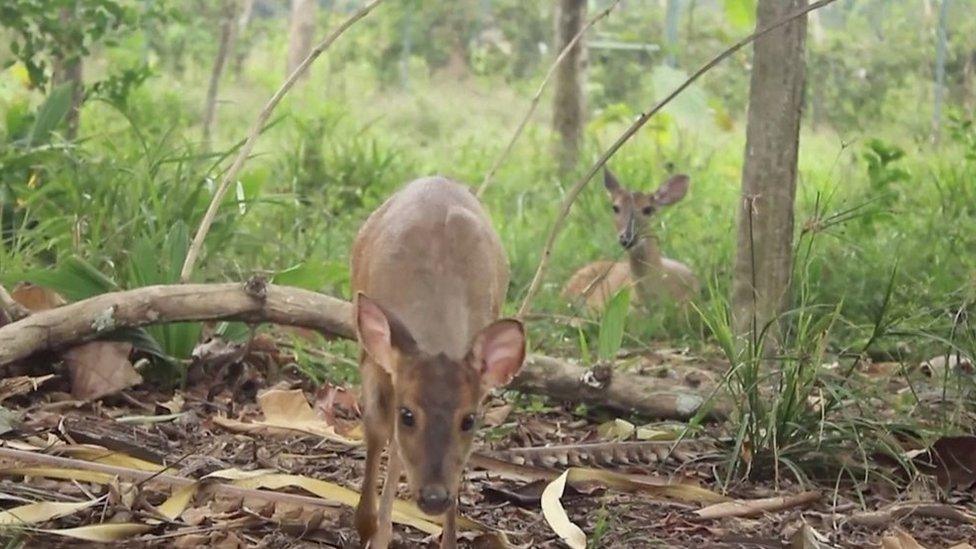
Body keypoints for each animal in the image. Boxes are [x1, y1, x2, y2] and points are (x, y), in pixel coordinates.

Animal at [350, 177, 528, 548]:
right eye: (408, 415)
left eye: (469, 420)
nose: (433, 497)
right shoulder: (376, 362)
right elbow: (380, 433)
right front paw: (372, 528)